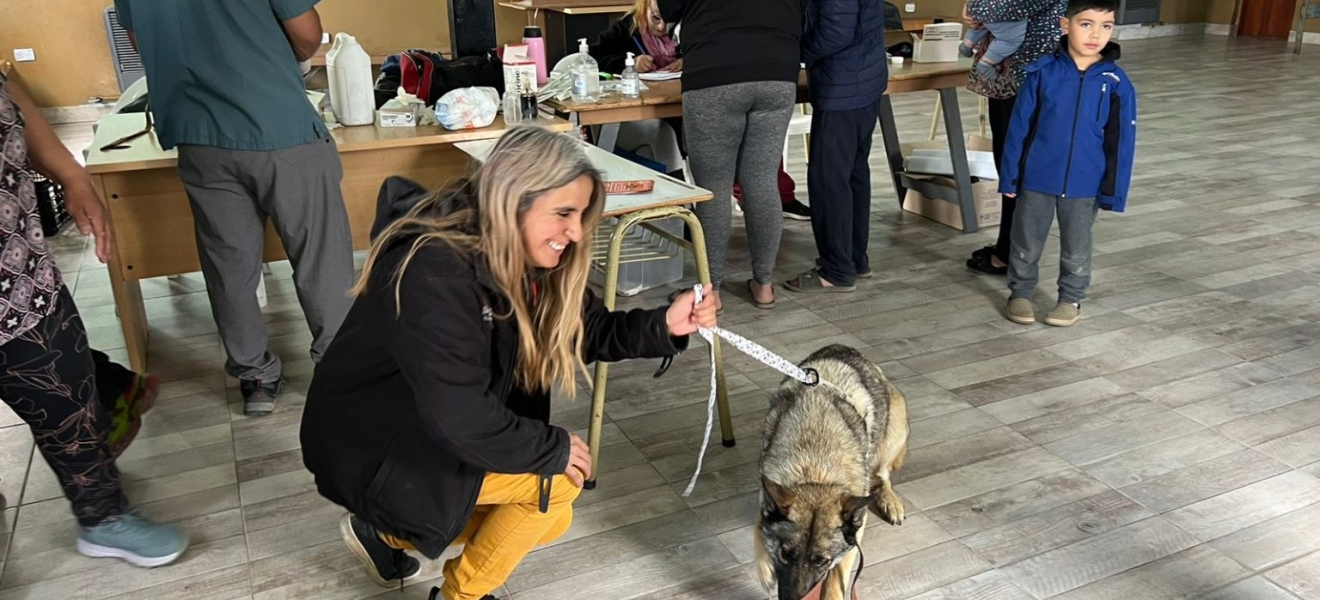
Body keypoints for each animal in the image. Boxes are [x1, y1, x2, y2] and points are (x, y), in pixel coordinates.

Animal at [755, 342, 908, 600]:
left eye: (822, 561)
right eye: (785, 554)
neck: (816, 470)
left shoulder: (854, 533)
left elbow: (837, 575)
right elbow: (759, 525)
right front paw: (765, 566)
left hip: (894, 428)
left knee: (882, 476)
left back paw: (890, 501)